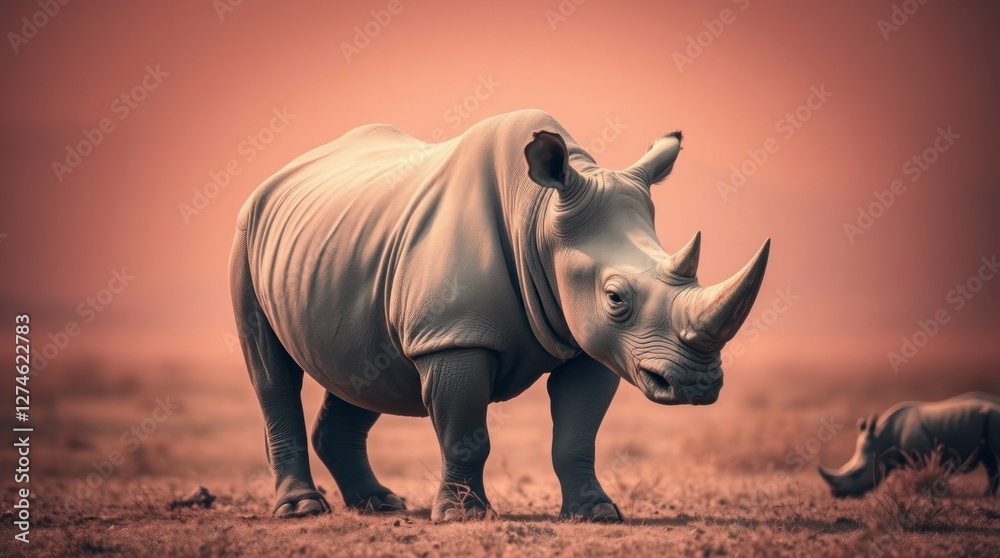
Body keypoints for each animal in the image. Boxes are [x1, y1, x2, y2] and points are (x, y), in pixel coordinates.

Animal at [229, 109, 770, 522]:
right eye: (615, 298)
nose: (698, 385)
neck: (539, 214)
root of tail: (280, 175)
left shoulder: (592, 343)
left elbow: (578, 434)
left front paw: (596, 513)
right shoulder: (455, 336)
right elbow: (466, 434)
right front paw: (462, 517)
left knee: (367, 367)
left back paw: (380, 505)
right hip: (247, 229)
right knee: (271, 370)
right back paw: (303, 510)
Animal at [818, 392, 1000, 498]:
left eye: (857, 473)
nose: (835, 493)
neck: (882, 440)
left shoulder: (921, 454)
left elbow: (921, 473)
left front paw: (923, 493)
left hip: (993, 419)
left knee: (993, 457)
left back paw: (986, 496)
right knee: (990, 459)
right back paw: (987, 495)